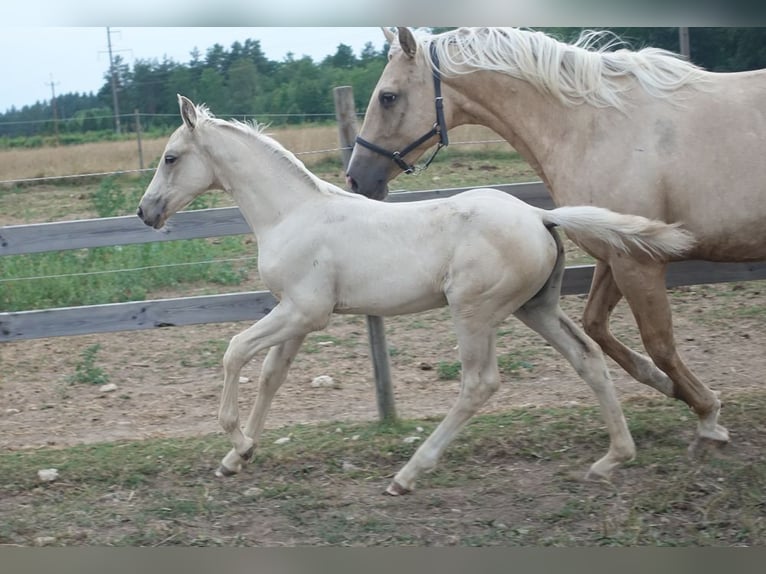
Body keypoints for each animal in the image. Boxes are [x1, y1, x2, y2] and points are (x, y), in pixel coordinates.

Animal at [136, 94, 696, 496]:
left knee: (479, 383)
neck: (292, 213)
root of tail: (541, 215)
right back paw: (612, 458)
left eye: (170, 157)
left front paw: (234, 439)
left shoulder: (305, 312)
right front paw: (238, 457)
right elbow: (272, 376)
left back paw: (407, 475)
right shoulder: (296, 313)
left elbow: (234, 352)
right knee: (588, 357)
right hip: (535, 308)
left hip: (474, 312)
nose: (146, 211)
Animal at [348, 25, 766, 450]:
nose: (356, 179)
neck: (595, 125)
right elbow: (597, 328)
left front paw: (708, 414)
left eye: (388, 96)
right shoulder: (614, 255)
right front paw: (671, 388)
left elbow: (660, 343)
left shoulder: (639, 262)